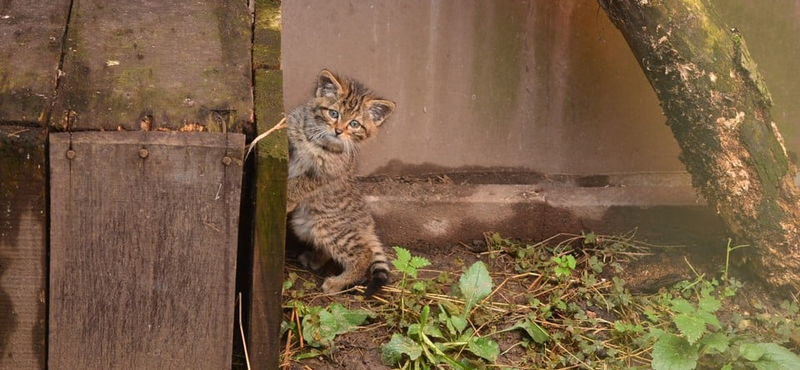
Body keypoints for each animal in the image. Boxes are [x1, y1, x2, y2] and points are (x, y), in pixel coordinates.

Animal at [288, 68, 396, 294]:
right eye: (333, 113)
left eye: (354, 124)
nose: (338, 131)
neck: (316, 140)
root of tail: (367, 224)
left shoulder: (327, 174)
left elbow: (302, 184)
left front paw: (288, 197)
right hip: (303, 225)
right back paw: (315, 259)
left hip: (330, 228)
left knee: (364, 254)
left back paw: (337, 282)